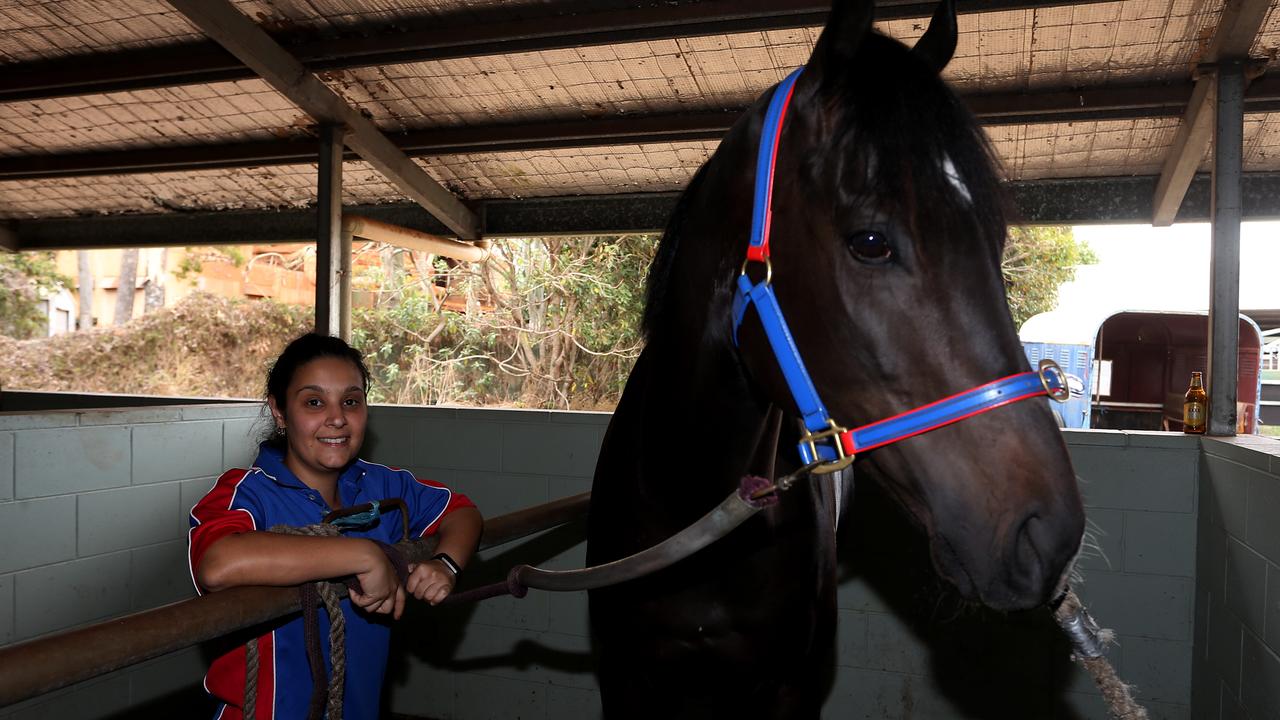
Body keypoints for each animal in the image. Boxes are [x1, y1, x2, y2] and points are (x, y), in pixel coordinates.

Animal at [586, 2, 1085, 712]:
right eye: (871, 242)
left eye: (995, 241)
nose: (1048, 534)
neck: (691, 506)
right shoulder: (625, 682)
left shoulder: (793, 687)